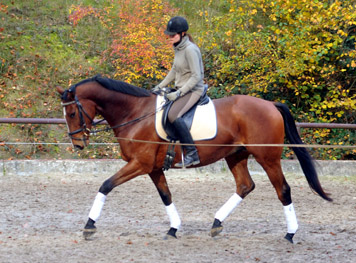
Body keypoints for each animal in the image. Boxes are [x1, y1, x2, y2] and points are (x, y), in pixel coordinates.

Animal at [55, 75, 330, 244]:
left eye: (72, 113)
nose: (78, 144)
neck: (135, 113)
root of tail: (271, 104)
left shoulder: (139, 165)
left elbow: (105, 185)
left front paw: (89, 226)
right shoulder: (153, 168)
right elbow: (166, 196)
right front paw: (173, 228)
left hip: (268, 157)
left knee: (283, 190)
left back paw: (290, 234)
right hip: (236, 155)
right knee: (245, 186)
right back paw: (217, 223)